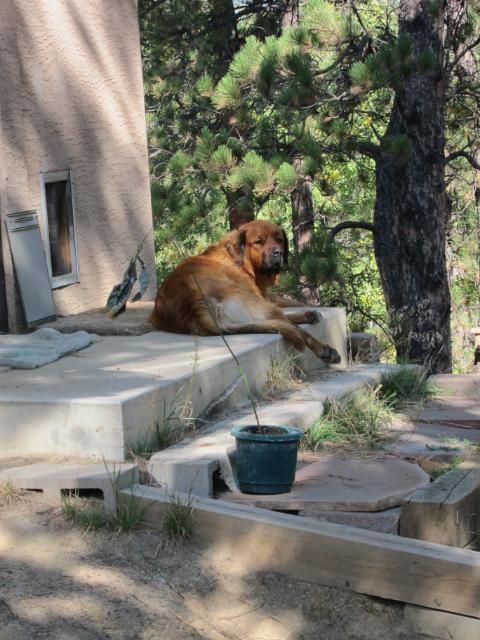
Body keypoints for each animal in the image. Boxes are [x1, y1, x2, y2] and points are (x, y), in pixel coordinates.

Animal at [150, 220, 342, 362]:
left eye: (279, 239)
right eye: (259, 242)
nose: (278, 253)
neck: (240, 260)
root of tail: (195, 308)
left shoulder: (264, 295)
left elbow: (290, 302)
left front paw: (309, 312)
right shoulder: (259, 295)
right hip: (250, 298)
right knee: (293, 327)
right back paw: (324, 349)